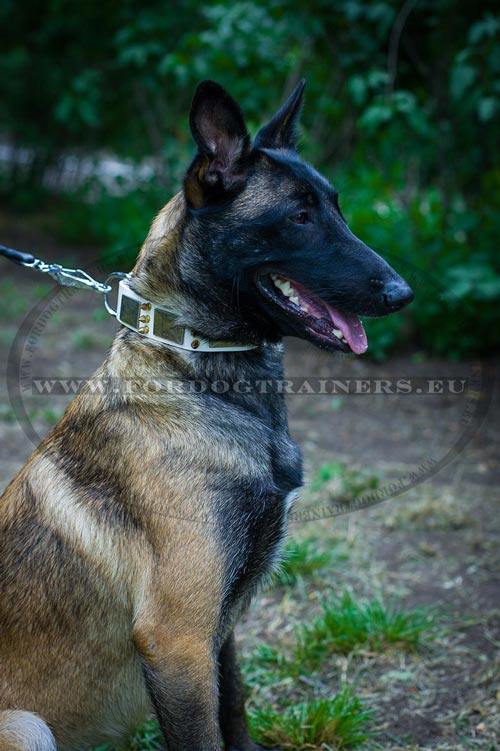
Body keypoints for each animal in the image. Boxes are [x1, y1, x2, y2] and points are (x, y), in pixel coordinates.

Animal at [0, 79, 412, 748]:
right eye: (298, 217)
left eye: (337, 208)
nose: (403, 294)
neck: (195, 366)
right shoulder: (177, 641)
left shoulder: (217, 634)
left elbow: (235, 710)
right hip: (28, 725)